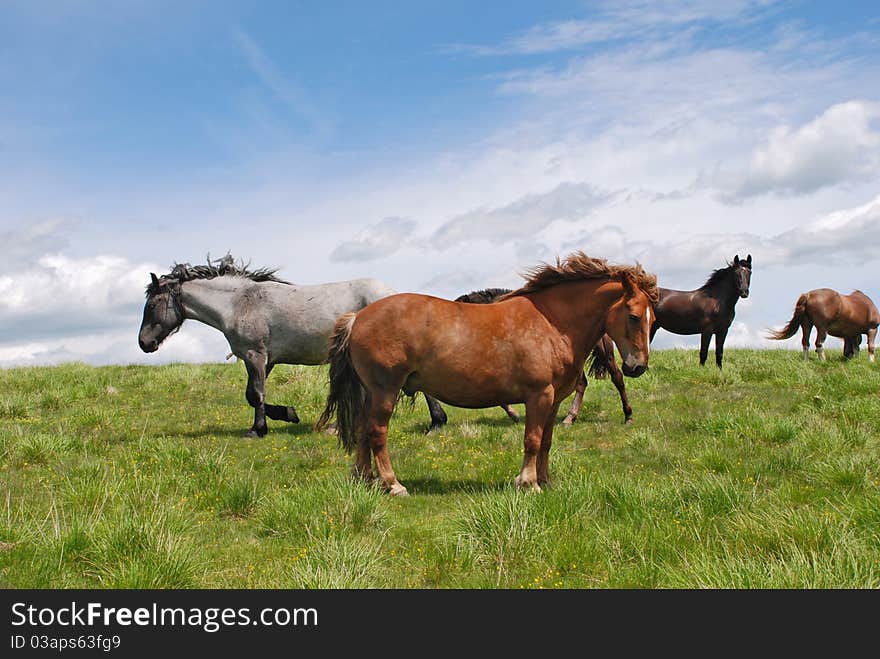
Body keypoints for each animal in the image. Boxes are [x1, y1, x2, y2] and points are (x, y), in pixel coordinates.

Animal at [141, 256, 450, 438]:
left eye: (152, 305)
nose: (144, 343)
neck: (240, 303)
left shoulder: (255, 355)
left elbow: (255, 394)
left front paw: (259, 430)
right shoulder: (264, 360)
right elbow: (253, 395)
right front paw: (287, 414)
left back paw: (436, 423)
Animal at [454, 292, 632, 426]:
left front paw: (514, 415)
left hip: (604, 353)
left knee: (616, 377)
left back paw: (628, 416)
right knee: (583, 384)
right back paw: (570, 417)